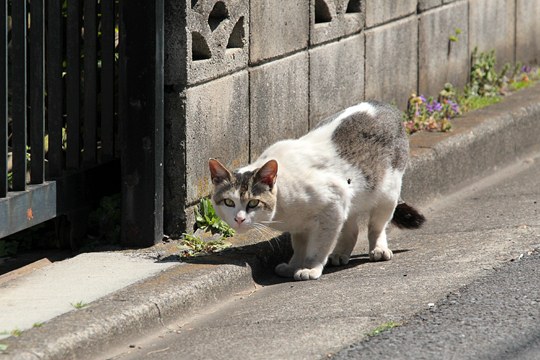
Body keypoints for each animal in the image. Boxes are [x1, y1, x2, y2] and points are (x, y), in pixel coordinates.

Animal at [209, 101, 424, 282]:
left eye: (253, 202)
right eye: (229, 202)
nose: (238, 219)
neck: (283, 206)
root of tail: (385, 105)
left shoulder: (332, 206)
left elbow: (318, 246)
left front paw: (310, 268)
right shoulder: (301, 224)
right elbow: (299, 246)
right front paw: (293, 265)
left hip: (387, 193)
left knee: (376, 226)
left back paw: (378, 249)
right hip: (351, 200)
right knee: (352, 228)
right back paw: (339, 254)